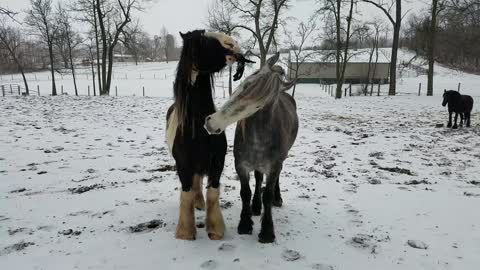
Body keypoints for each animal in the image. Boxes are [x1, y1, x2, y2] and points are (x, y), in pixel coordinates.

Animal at [167, 30, 246, 240]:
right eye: (203, 40)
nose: (233, 44)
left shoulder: (216, 162)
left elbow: (212, 193)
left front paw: (215, 229)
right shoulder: (183, 165)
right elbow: (186, 193)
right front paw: (185, 232)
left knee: (199, 182)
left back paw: (199, 204)